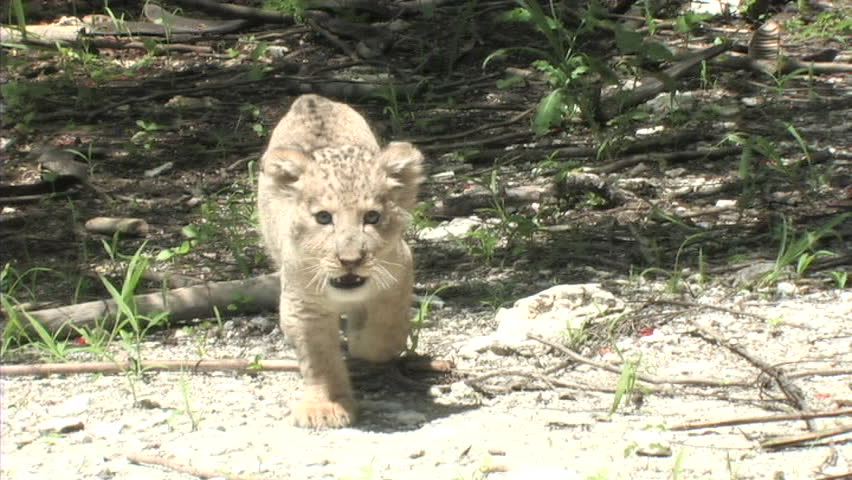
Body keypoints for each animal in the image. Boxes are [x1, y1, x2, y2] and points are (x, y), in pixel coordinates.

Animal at [256, 94, 423, 428]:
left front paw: (360, 339)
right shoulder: (303, 305)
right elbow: (319, 360)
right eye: (323, 218)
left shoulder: (399, 269)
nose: (350, 260)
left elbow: (382, 336)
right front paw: (326, 406)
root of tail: (312, 99)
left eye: (372, 217)